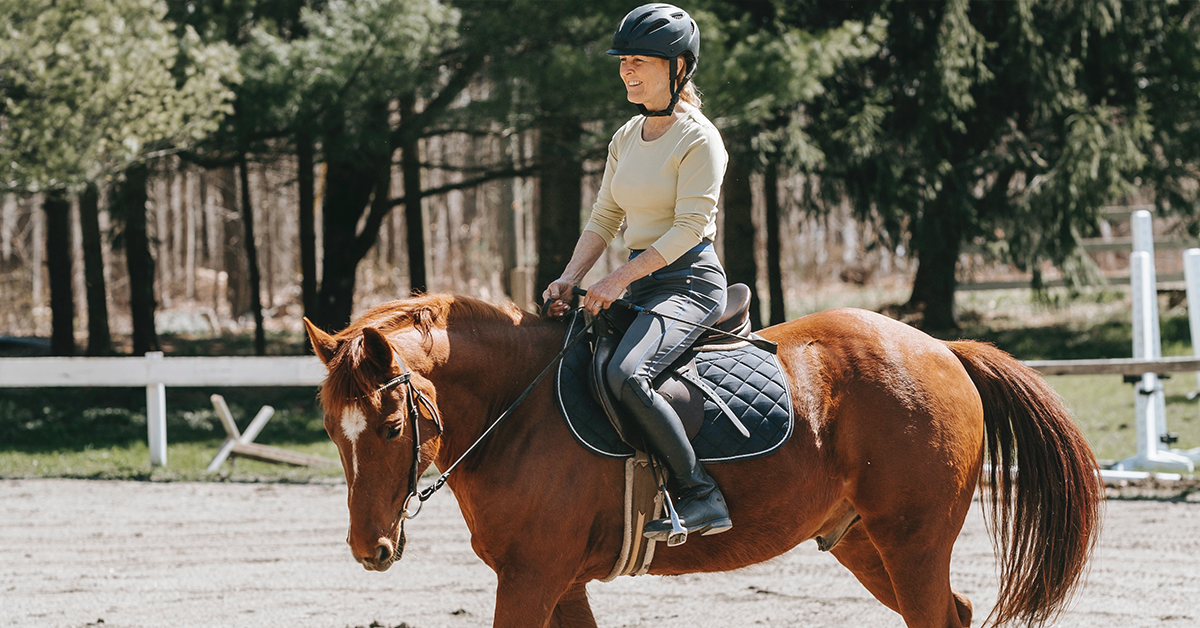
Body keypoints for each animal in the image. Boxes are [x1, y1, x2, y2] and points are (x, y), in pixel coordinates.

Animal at [303, 293, 1102, 628]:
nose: (369, 549)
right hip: (865, 544)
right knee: (951, 613)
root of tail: (940, 348)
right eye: (333, 430)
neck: (518, 410)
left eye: (392, 426)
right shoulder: (558, 581)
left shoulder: (531, 579)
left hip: (913, 541)